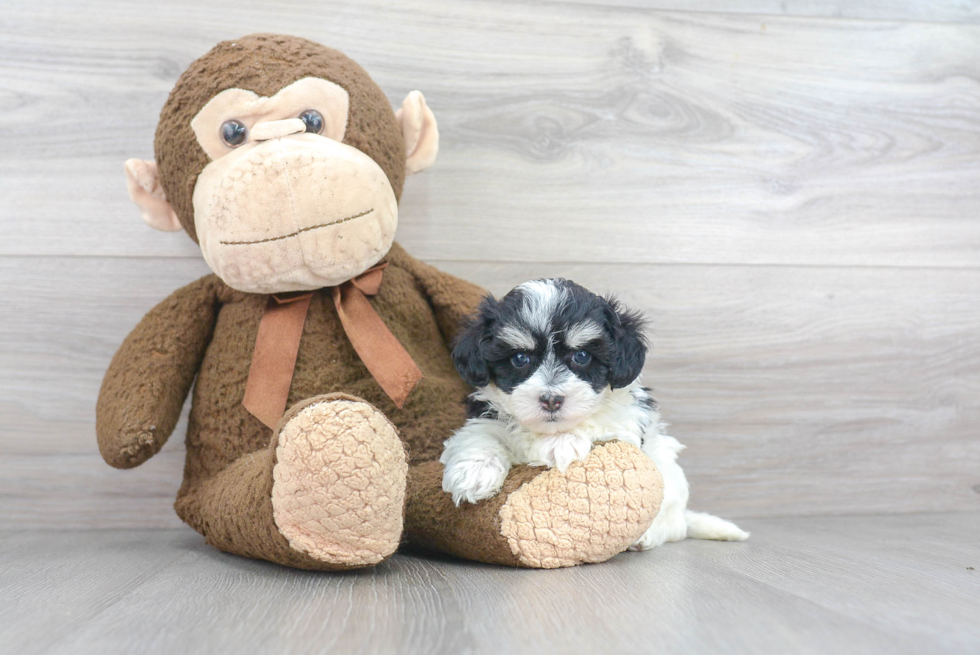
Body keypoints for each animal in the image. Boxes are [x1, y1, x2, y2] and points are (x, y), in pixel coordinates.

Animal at [440, 280, 748, 552]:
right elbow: (480, 434)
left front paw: (560, 443)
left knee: (673, 526)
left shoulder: (626, 421)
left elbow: (598, 422)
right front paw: (473, 473)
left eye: (582, 356)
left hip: (671, 488)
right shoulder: (486, 414)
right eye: (519, 359)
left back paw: (645, 536)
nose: (551, 400)